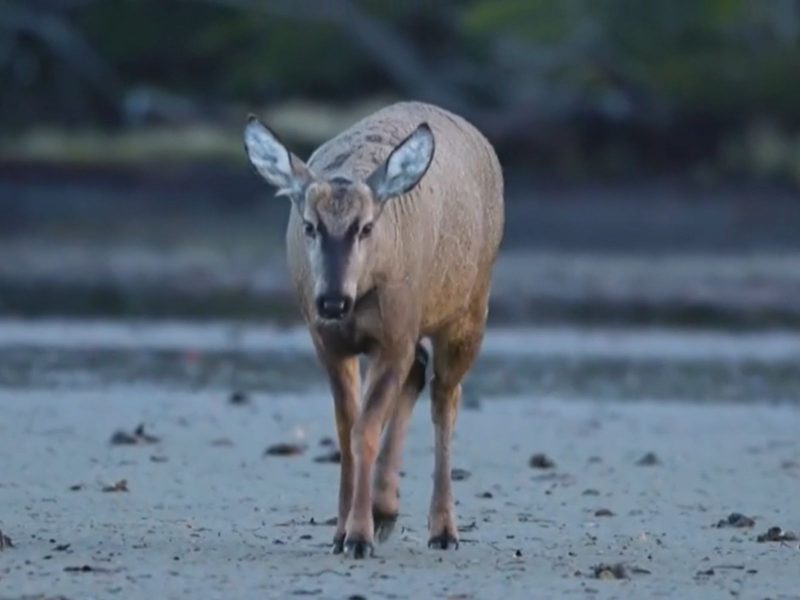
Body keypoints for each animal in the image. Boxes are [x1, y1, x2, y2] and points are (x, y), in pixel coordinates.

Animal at [245, 99, 506, 556]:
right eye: (310, 226)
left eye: (366, 227)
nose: (332, 300)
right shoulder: (328, 342)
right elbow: (347, 429)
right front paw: (343, 530)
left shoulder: (396, 332)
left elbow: (365, 428)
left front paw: (358, 536)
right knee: (418, 374)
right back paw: (386, 510)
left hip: (470, 309)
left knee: (446, 398)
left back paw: (443, 529)